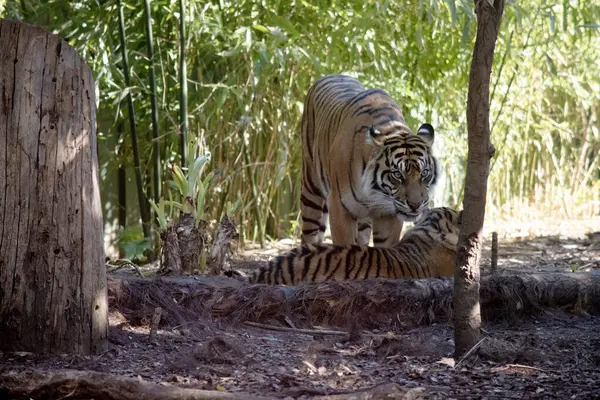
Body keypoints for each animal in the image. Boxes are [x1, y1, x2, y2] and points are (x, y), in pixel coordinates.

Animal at [300, 73, 436, 245]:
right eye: (397, 175)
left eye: (424, 173)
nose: (415, 205)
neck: (375, 193)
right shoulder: (340, 209)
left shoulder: (389, 214)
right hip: (311, 189)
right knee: (309, 233)